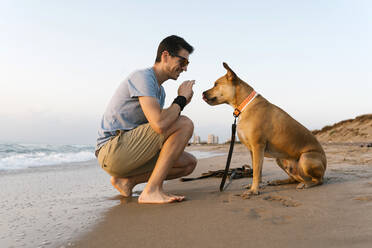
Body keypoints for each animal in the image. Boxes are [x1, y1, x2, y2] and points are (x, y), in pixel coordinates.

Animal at [202, 63, 326, 197]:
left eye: (216, 84)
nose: (202, 93)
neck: (244, 104)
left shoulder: (258, 146)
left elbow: (256, 171)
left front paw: (253, 190)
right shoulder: (253, 150)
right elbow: (258, 170)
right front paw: (256, 186)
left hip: (306, 158)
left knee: (318, 180)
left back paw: (306, 184)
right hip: (280, 159)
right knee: (294, 178)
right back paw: (279, 181)